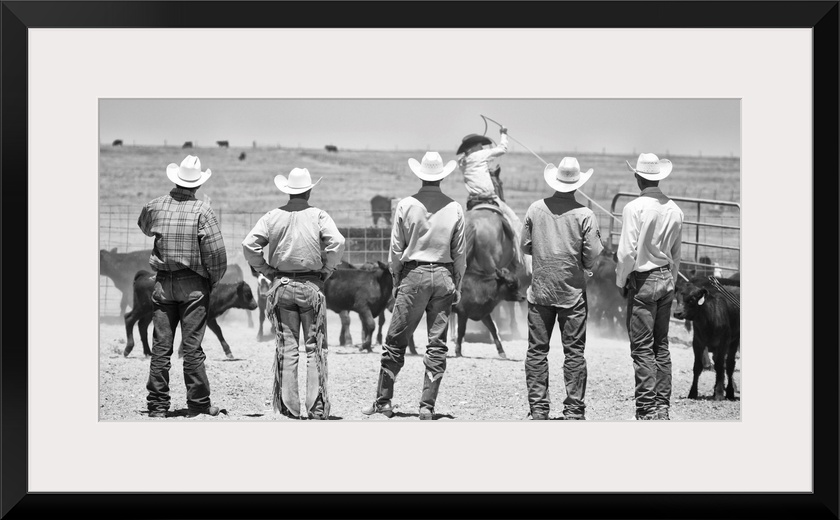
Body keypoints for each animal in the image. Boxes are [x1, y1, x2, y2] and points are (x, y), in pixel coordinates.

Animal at [123, 270, 258, 359]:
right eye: (248, 293)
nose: (255, 305)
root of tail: (144, 275)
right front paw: (181, 353)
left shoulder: (210, 318)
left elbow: (218, 332)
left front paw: (228, 352)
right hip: (141, 307)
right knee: (129, 319)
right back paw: (128, 349)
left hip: (149, 312)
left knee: (142, 325)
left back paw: (148, 352)